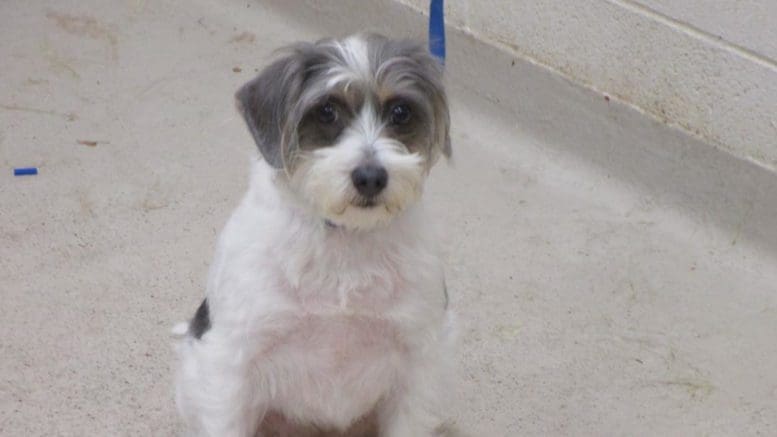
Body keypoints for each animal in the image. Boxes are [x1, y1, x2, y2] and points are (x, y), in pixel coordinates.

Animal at [175, 32, 454, 434]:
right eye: (327, 111)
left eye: (400, 112)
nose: (371, 177)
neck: (344, 238)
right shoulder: (232, 366)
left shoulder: (419, 365)